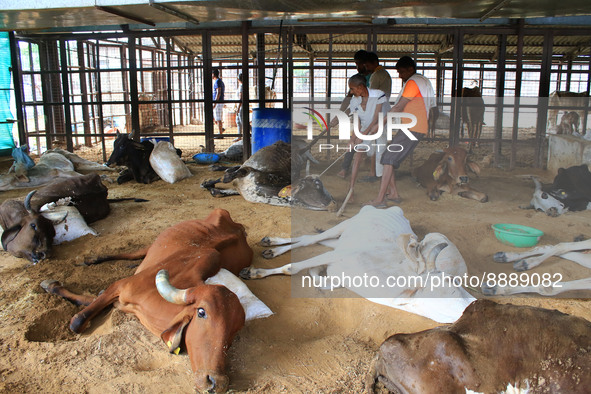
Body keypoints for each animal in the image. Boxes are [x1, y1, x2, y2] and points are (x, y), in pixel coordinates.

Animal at [41, 208, 254, 392]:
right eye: (202, 312)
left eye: (235, 329)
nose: (216, 382)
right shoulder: (120, 286)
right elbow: (77, 320)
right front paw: (51, 286)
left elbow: (93, 300)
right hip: (150, 245)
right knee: (130, 253)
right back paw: (93, 259)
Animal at [240, 206, 476, 324]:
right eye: (452, 288)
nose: (474, 304)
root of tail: (392, 209)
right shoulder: (343, 253)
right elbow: (293, 267)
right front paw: (254, 272)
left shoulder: (337, 271)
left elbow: (318, 277)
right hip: (345, 225)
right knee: (311, 239)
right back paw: (271, 245)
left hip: (341, 238)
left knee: (313, 239)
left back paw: (271, 247)